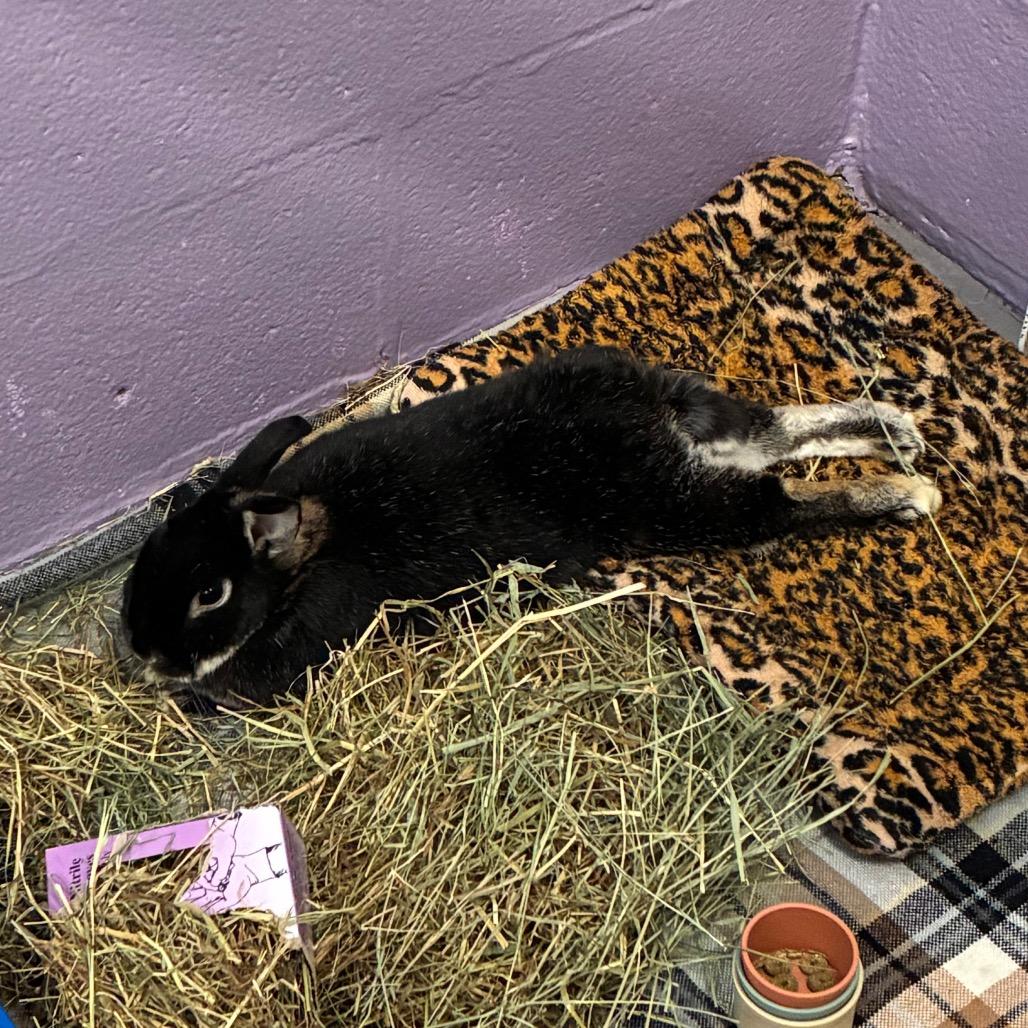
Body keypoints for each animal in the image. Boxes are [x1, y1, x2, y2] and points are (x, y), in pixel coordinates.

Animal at [121, 345, 939, 707]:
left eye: (210, 595)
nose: (142, 651)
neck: (312, 541)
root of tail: (650, 420)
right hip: (695, 436)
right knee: (773, 433)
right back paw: (898, 435)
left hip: (677, 503)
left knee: (775, 498)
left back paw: (910, 493)